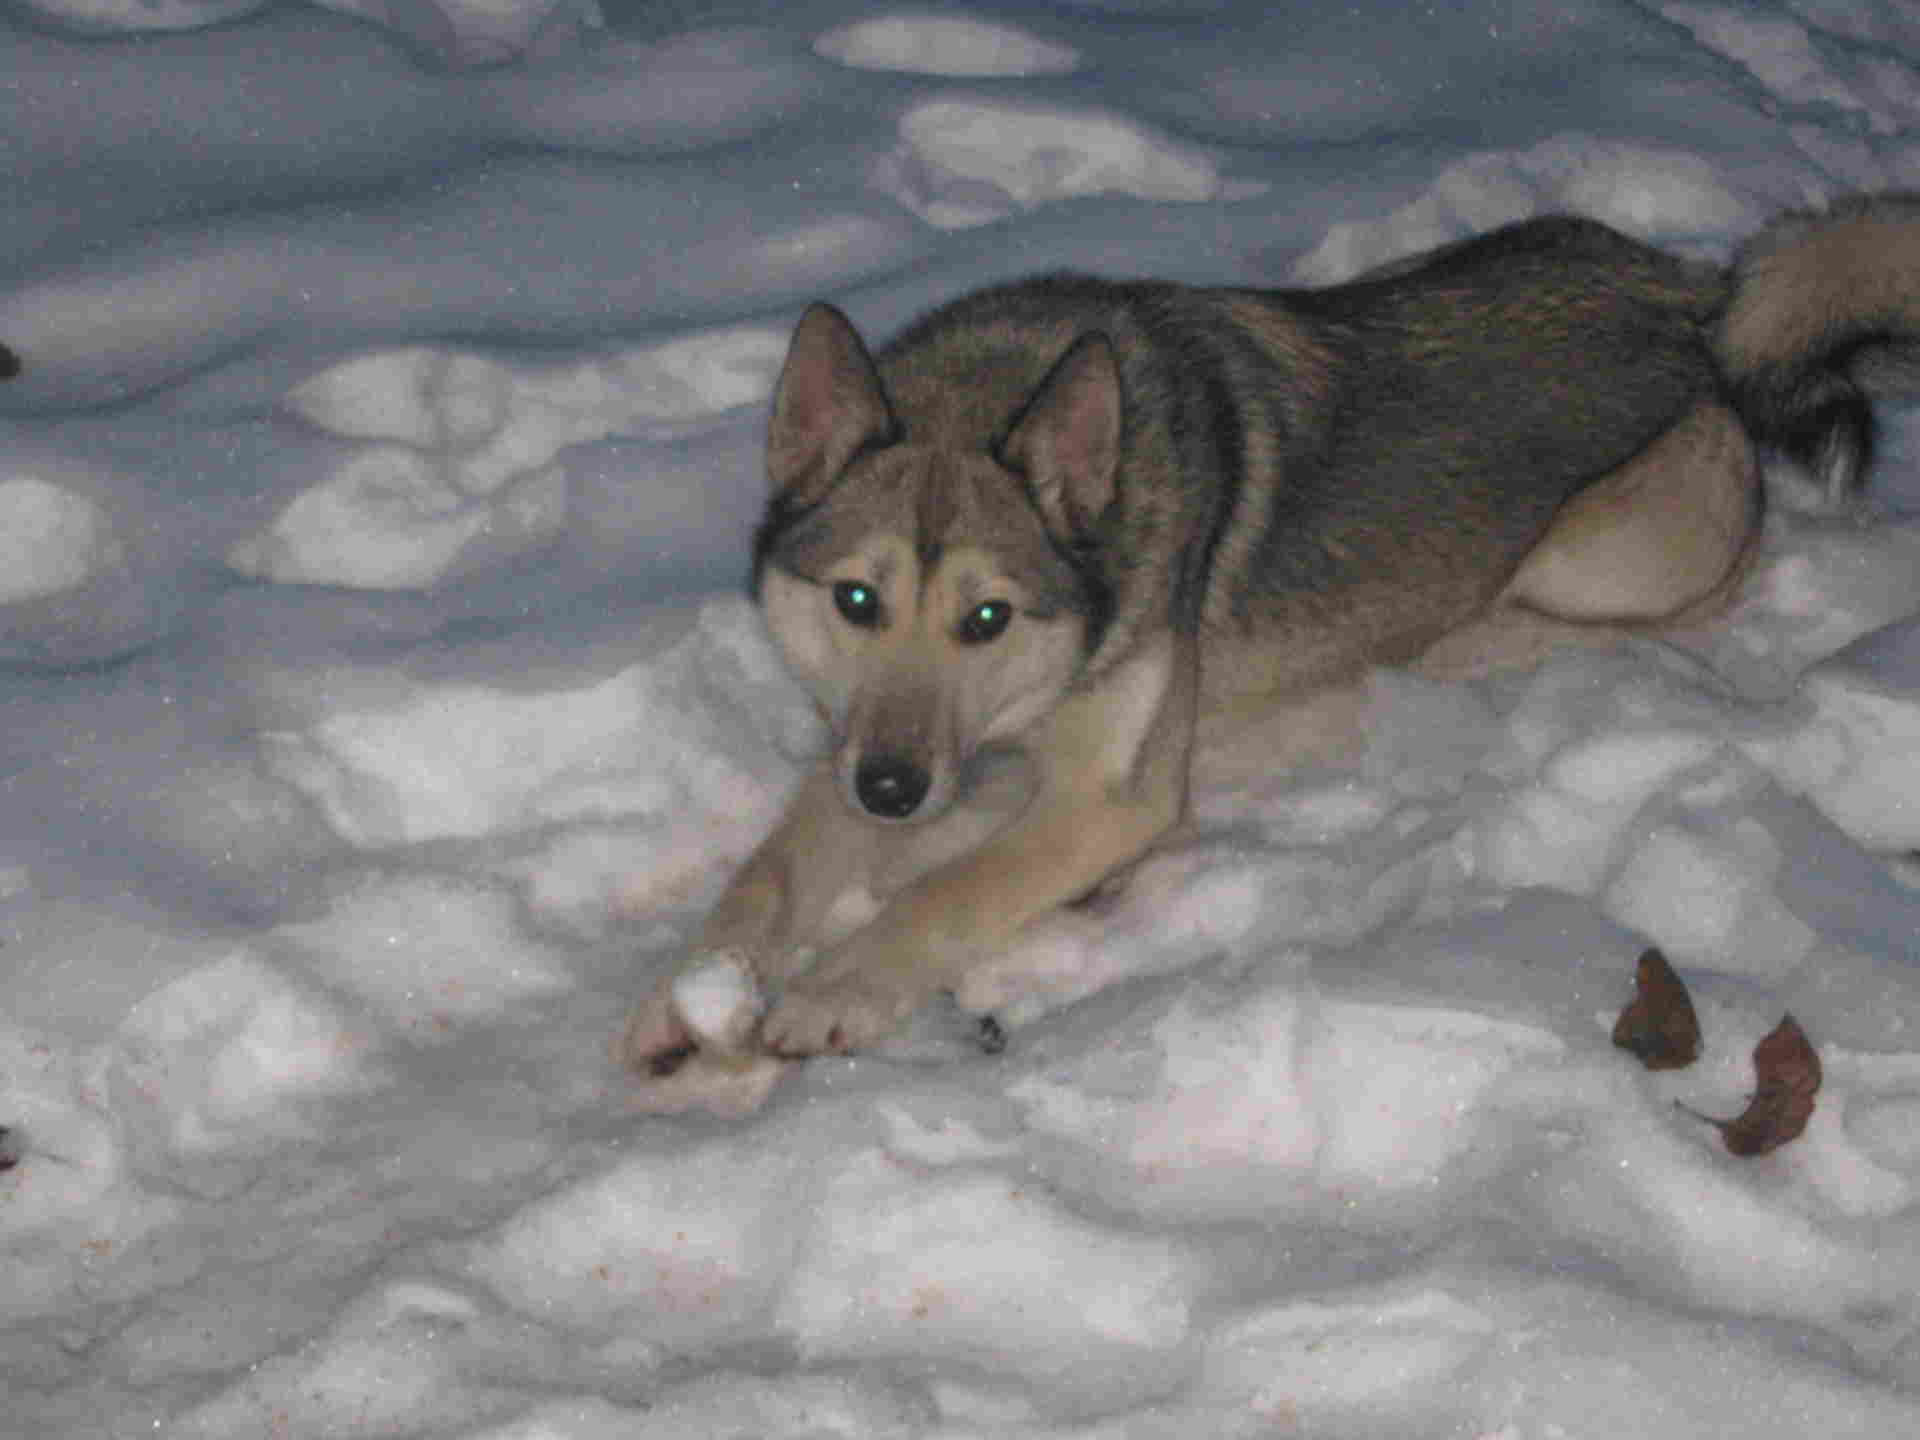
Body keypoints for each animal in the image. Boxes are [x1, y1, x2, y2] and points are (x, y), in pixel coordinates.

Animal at [622, 197, 1920, 1090]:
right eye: (854, 602)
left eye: (987, 618)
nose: (894, 791)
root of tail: (1692, 292)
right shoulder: (859, 745)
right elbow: (772, 869)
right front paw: (688, 994)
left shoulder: (1108, 799)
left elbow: (944, 892)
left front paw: (833, 989)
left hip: (1596, 553)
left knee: (1655, 600)